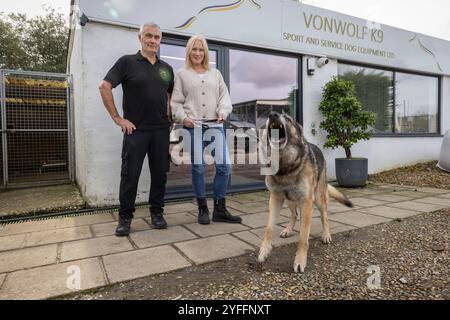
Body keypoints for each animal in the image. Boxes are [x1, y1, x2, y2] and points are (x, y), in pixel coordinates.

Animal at [258, 112, 354, 272]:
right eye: (267, 118)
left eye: (287, 118)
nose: (273, 114)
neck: (284, 167)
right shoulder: (275, 199)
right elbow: (269, 228)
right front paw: (264, 251)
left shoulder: (307, 202)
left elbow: (303, 237)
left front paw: (300, 261)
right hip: (290, 200)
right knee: (294, 215)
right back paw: (288, 230)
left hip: (318, 199)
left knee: (324, 217)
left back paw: (326, 235)